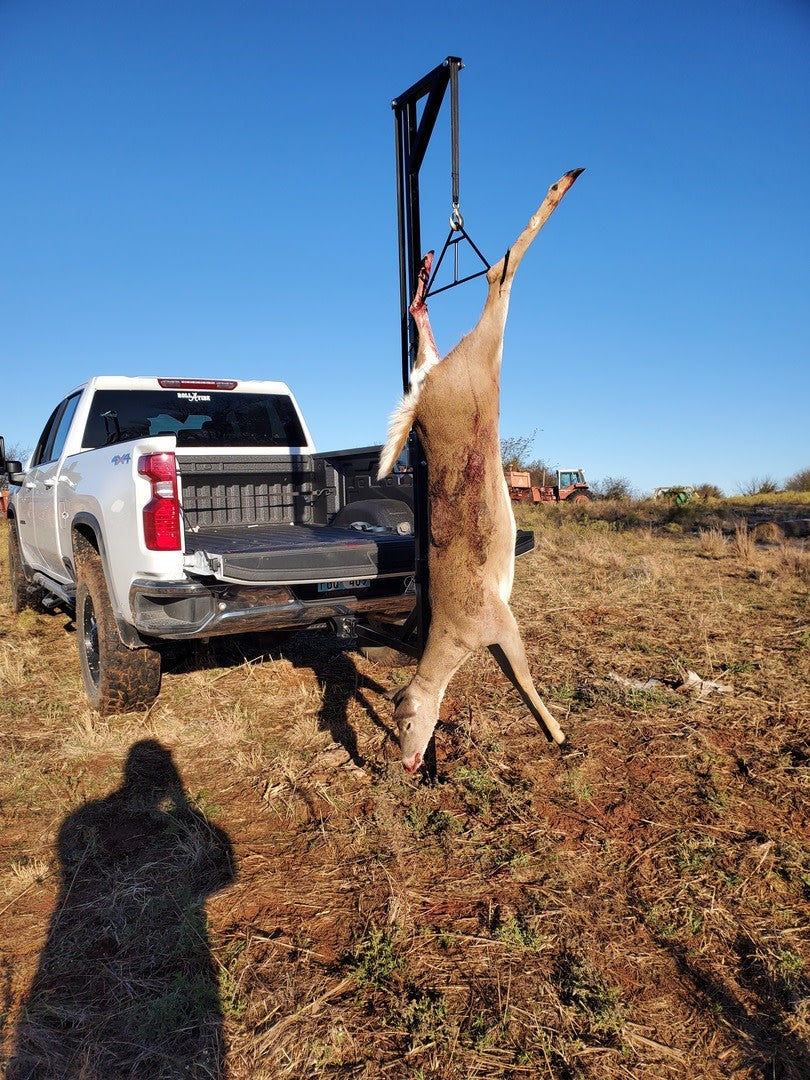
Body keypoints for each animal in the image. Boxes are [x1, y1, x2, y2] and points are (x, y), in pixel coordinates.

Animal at [377, 168, 583, 774]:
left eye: (405, 721)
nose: (408, 763)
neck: (456, 636)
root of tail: (423, 401)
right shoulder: (496, 629)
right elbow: (517, 680)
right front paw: (556, 734)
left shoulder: (499, 623)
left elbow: (525, 680)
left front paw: (558, 733)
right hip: (465, 364)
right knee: (455, 306)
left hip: (473, 358)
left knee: (498, 274)